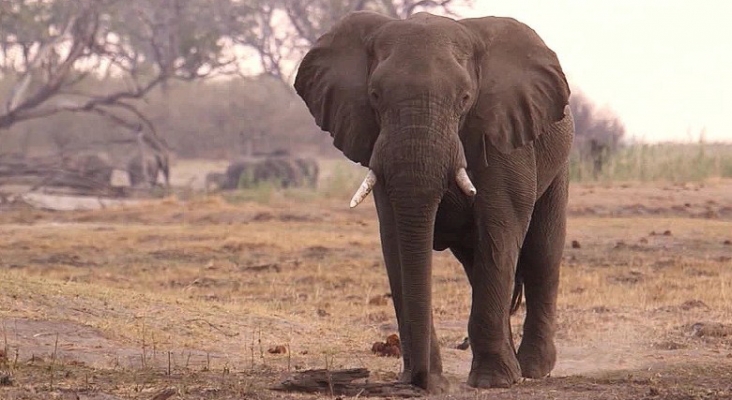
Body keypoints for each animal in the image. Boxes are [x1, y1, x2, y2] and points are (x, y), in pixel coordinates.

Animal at [294, 10, 576, 392]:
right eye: (375, 95)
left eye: (465, 98)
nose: (420, 381)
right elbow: (396, 241)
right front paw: (431, 380)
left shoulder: (501, 134)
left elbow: (499, 232)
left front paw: (492, 382)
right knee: (477, 264)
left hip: (558, 163)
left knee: (540, 255)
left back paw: (532, 369)